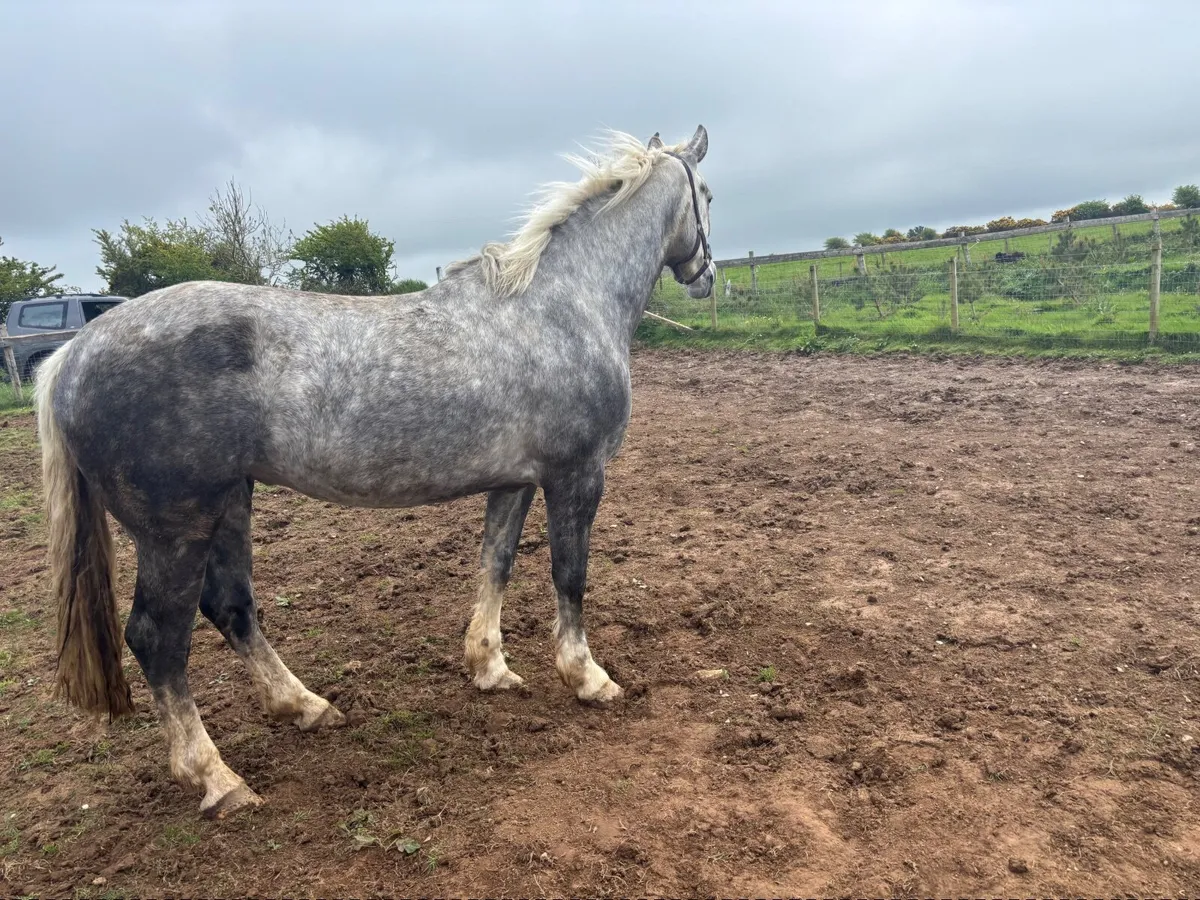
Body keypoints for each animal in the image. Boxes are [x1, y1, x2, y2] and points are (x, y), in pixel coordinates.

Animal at [34, 125, 715, 819]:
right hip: (175, 530)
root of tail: (73, 355)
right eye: (708, 196)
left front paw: (490, 668)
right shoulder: (576, 476)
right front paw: (588, 678)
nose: (705, 275)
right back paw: (217, 779)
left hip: (230, 502)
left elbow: (494, 565)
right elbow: (569, 576)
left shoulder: (515, 481)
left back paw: (303, 706)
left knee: (230, 606)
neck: (561, 306)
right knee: (157, 639)